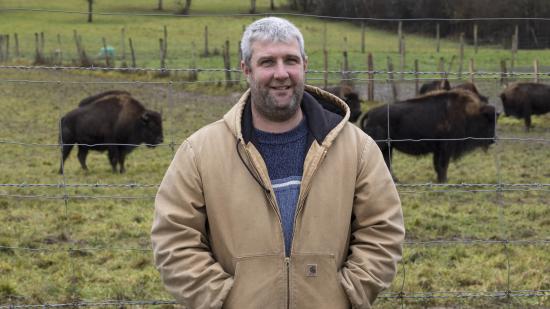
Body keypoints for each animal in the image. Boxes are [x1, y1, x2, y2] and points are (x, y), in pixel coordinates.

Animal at [362, 88, 500, 182]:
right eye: (489, 121)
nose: (494, 140)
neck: (468, 113)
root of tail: (370, 113)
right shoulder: (446, 147)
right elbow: (443, 165)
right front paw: (444, 181)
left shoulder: (438, 149)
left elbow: (438, 165)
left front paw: (441, 180)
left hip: (388, 148)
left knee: (386, 163)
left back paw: (394, 180)